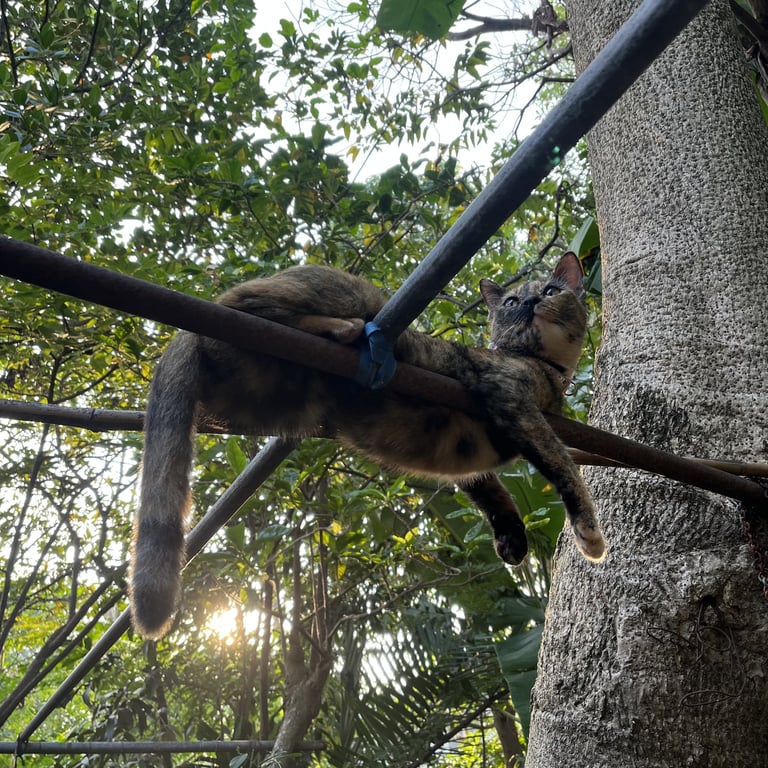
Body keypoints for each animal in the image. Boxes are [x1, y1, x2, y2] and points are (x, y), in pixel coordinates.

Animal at [130, 253, 605, 639]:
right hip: (344, 292)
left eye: (551, 291)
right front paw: (588, 532)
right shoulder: (509, 397)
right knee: (248, 305)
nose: (528, 303)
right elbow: (562, 465)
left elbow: (491, 490)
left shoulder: (477, 458)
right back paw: (342, 329)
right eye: (509, 302)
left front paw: (511, 537)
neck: (544, 368)